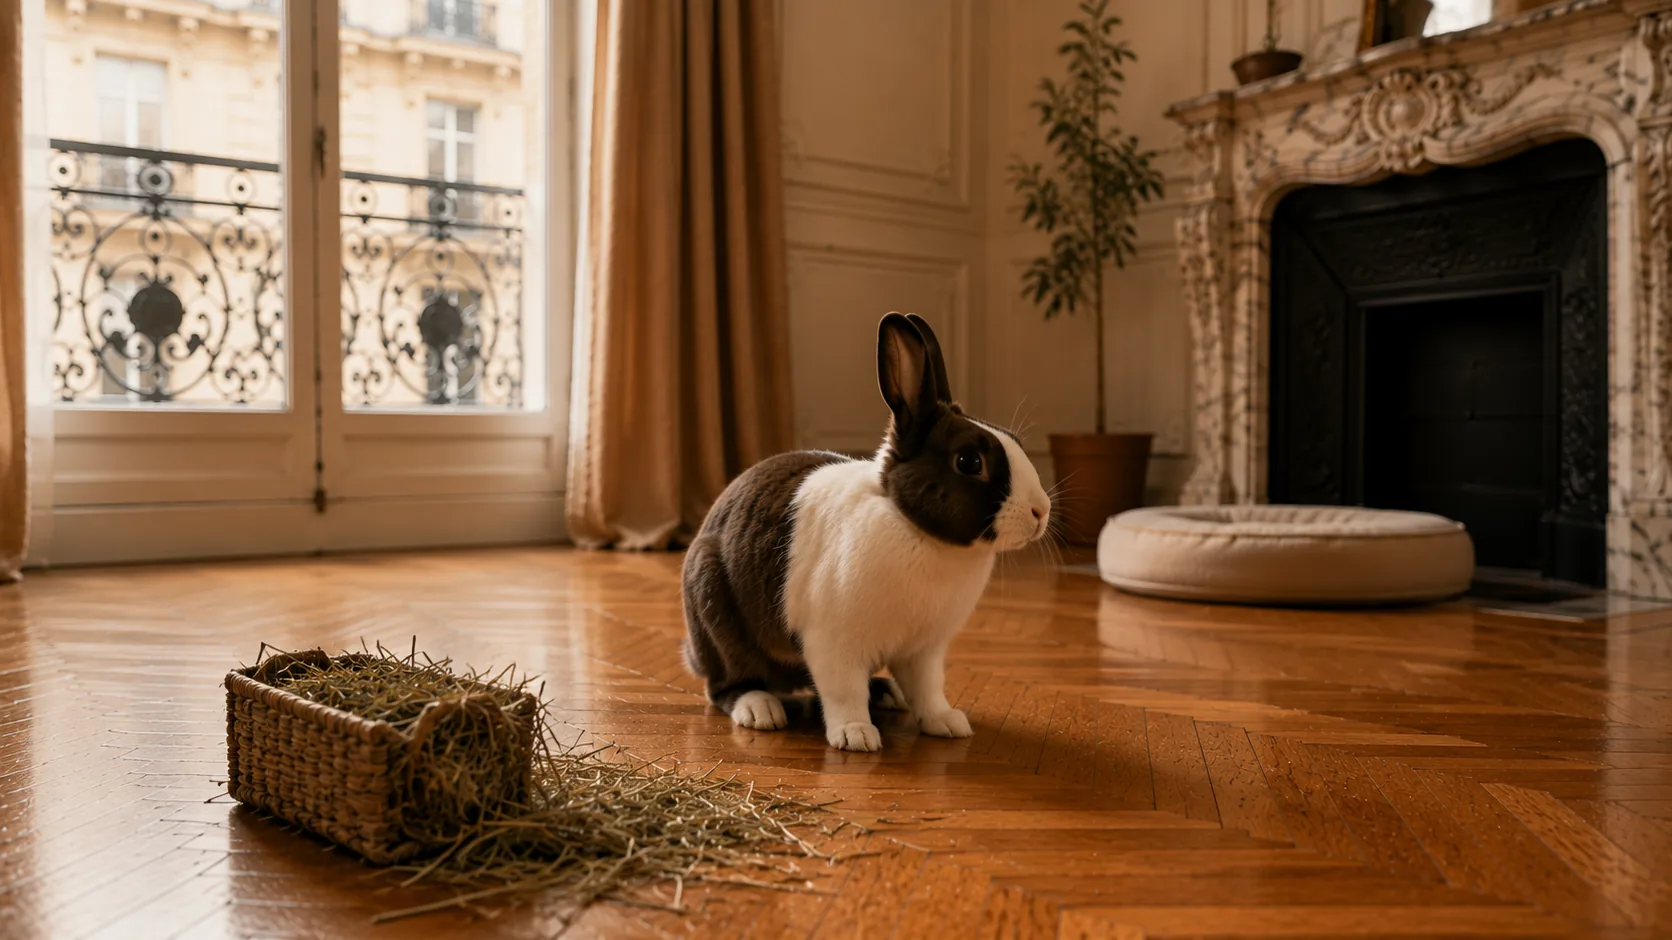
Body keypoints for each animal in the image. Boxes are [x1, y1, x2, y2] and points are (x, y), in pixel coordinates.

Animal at [681, 312, 1052, 752]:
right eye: (968, 461)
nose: (1041, 511)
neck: (915, 528)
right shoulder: (832, 644)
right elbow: (844, 691)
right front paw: (855, 735)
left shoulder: (924, 651)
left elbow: (928, 689)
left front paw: (946, 723)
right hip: (716, 617)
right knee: (725, 685)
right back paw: (760, 710)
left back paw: (887, 693)